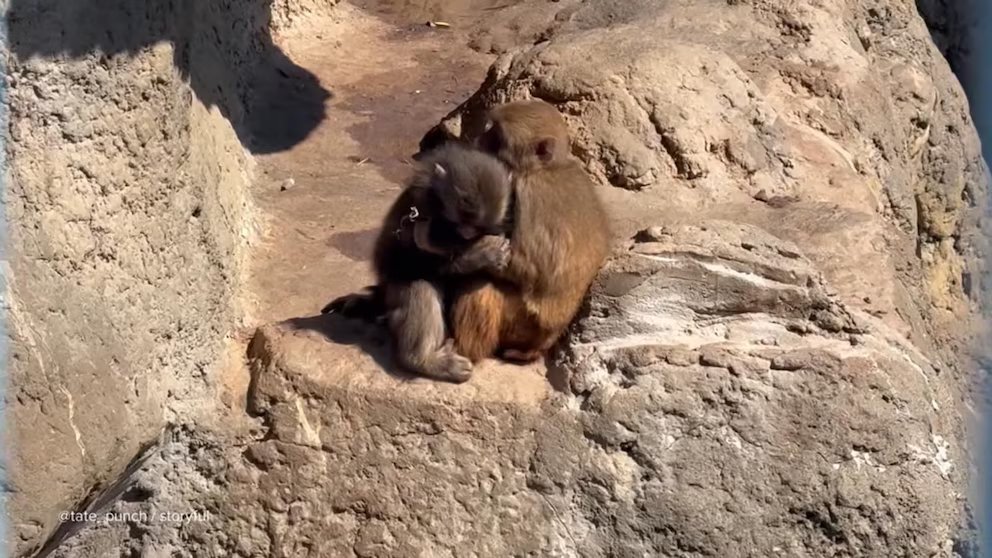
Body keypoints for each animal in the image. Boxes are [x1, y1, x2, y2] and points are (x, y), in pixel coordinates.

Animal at [323, 142, 516, 382]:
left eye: (478, 227)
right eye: (461, 219)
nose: (466, 234)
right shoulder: (419, 213)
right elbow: (408, 259)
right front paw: (483, 255)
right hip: (393, 290)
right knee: (420, 285)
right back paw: (422, 360)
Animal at [447, 99, 611, 364]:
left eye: (496, 137)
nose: (478, 140)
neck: (545, 169)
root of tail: (542, 344)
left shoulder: (528, 193)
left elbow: (531, 269)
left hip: (522, 323)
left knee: (482, 288)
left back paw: (463, 352)